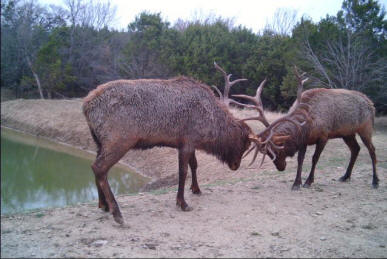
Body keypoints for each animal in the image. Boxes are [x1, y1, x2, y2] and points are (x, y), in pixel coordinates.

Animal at [82, 75, 252, 225]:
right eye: (244, 143)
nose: (236, 165)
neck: (210, 125)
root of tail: (86, 106)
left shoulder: (189, 142)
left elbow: (194, 165)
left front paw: (196, 189)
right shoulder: (187, 141)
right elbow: (183, 171)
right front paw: (182, 203)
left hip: (100, 142)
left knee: (96, 166)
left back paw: (103, 205)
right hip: (119, 140)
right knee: (99, 167)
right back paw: (117, 214)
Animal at [233, 67, 378, 191]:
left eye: (277, 150)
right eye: (267, 153)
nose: (281, 168)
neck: (308, 125)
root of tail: (370, 103)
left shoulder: (324, 136)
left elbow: (314, 158)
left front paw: (308, 181)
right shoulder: (304, 140)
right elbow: (300, 160)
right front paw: (296, 183)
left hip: (366, 128)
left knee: (371, 149)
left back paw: (375, 181)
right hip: (347, 133)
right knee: (356, 149)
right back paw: (345, 176)